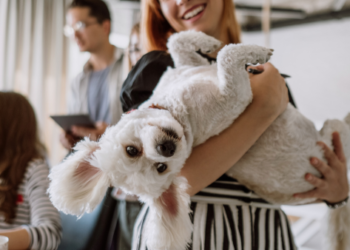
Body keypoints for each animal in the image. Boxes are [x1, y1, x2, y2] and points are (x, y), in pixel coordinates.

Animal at [48, 31, 350, 250]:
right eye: (162, 169)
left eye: (131, 150)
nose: (166, 148)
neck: (176, 107)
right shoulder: (237, 97)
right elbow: (227, 56)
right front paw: (256, 51)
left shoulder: (186, 68)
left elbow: (178, 42)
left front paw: (207, 41)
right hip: (334, 133)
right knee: (341, 126)